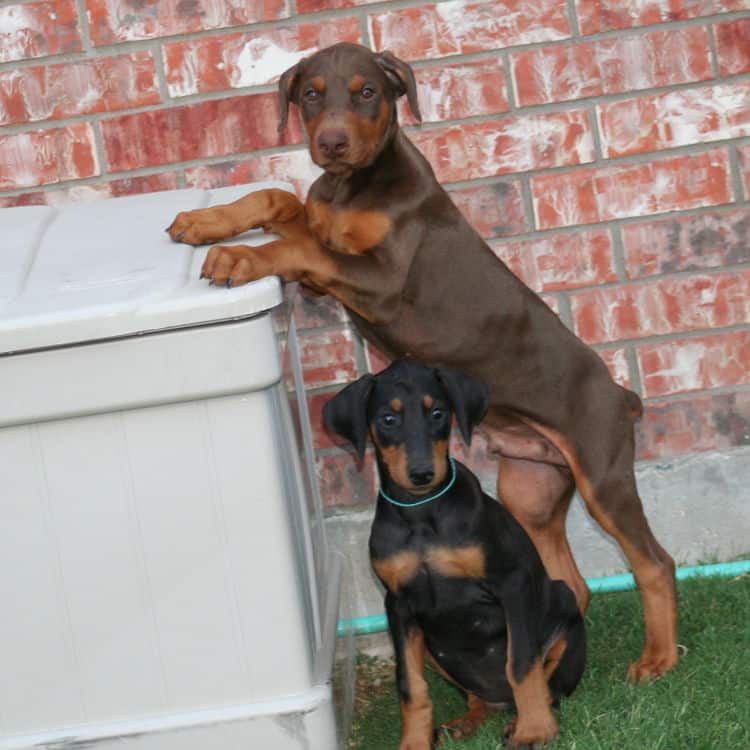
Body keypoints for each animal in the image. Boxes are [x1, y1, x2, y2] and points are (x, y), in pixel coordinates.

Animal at [169, 41, 680, 688]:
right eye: (311, 94)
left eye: (367, 92)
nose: (332, 143)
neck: (355, 183)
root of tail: (622, 394)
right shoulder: (325, 257)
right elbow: (278, 202)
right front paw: (204, 223)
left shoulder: (383, 280)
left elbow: (298, 244)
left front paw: (237, 256)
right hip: (530, 489)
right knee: (571, 581)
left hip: (602, 475)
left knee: (654, 562)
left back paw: (658, 658)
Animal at [324, 362, 588, 748]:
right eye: (388, 419)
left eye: (437, 413)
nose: (422, 473)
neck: (421, 513)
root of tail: (502, 700)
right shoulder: (398, 605)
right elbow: (409, 685)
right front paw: (413, 742)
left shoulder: (512, 583)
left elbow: (521, 663)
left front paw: (535, 730)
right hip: (434, 650)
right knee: (478, 699)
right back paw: (465, 723)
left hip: (565, 608)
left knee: (548, 683)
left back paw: (521, 720)